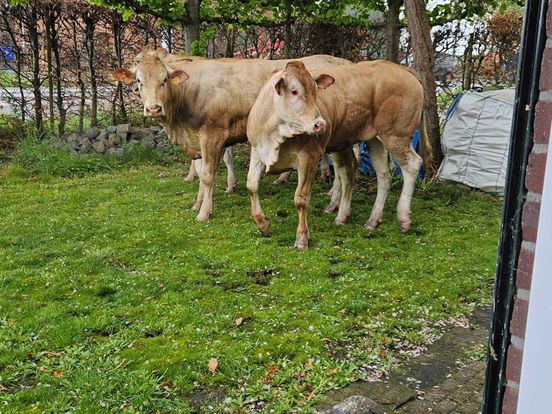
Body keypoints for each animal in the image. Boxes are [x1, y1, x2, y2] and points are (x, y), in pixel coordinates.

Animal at [111, 49, 350, 222]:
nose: (153, 109)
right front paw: (198, 203)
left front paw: (204, 212)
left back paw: (335, 199)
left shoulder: (213, 134)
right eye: (139, 81)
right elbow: (202, 171)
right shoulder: (199, 140)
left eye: (164, 80)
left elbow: (208, 175)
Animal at [246, 60, 432, 247]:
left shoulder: (309, 157)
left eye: (316, 91)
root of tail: (402, 68)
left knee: (412, 164)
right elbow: (251, 185)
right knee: (382, 175)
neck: (276, 132)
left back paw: (403, 218)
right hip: (375, 140)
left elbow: (301, 198)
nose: (320, 124)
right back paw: (370, 220)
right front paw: (262, 224)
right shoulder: (257, 150)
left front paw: (302, 238)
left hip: (395, 136)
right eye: (294, 91)